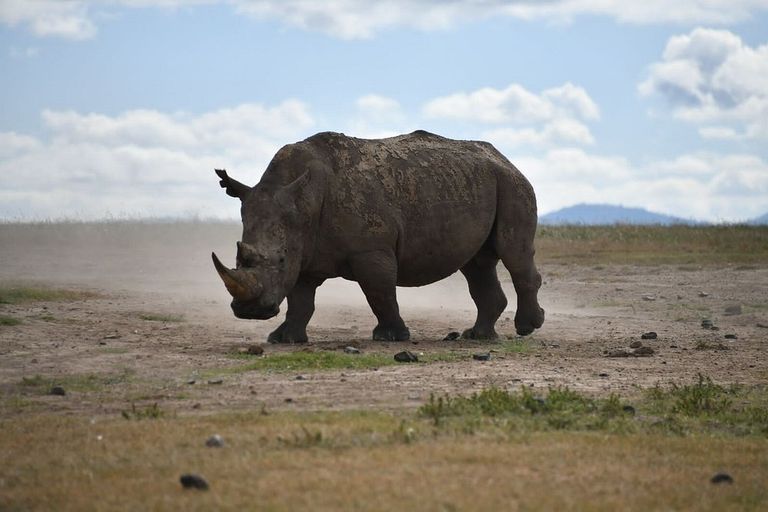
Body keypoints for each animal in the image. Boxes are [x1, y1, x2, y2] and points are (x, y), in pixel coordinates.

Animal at [212, 130, 544, 342]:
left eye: (280, 260)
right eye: (239, 258)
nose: (249, 312)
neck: (303, 201)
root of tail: (504, 158)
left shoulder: (370, 250)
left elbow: (379, 293)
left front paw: (392, 337)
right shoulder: (304, 251)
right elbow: (300, 299)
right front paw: (283, 339)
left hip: (512, 184)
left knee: (513, 253)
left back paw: (527, 328)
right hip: (479, 183)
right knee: (476, 265)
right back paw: (477, 336)